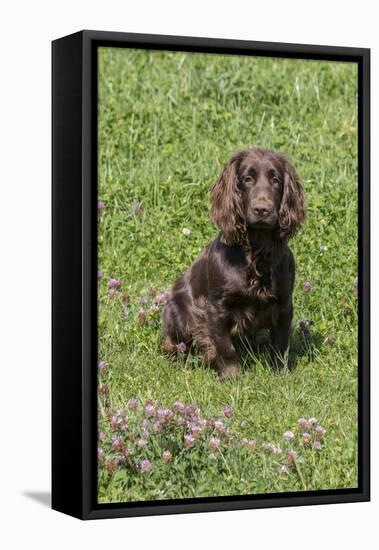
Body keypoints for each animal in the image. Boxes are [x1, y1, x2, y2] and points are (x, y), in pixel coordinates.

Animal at [162, 147, 308, 380]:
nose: (262, 209)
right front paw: (232, 376)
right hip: (177, 312)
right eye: (247, 179)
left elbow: (280, 343)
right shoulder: (216, 306)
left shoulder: (284, 303)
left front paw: (281, 373)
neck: (258, 252)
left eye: (276, 180)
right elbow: (225, 347)